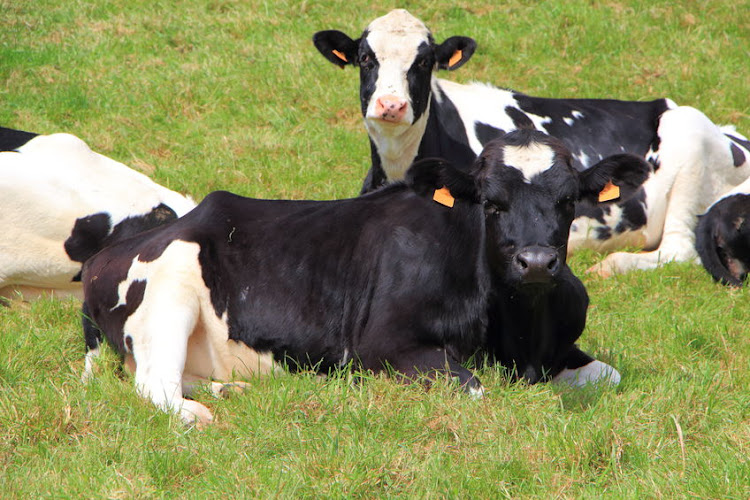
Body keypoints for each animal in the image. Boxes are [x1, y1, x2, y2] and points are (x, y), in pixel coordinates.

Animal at [78, 130, 652, 426]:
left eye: (568, 201)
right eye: (491, 203)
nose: (535, 261)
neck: (516, 336)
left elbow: (609, 375)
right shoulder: (384, 345)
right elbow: (474, 391)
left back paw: (232, 389)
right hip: (169, 293)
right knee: (156, 384)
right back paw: (202, 411)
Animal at [312, 8, 750, 278]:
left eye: (424, 62)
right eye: (366, 59)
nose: (391, 105)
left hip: (689, 148)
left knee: (677, 249)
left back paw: (612, 264)